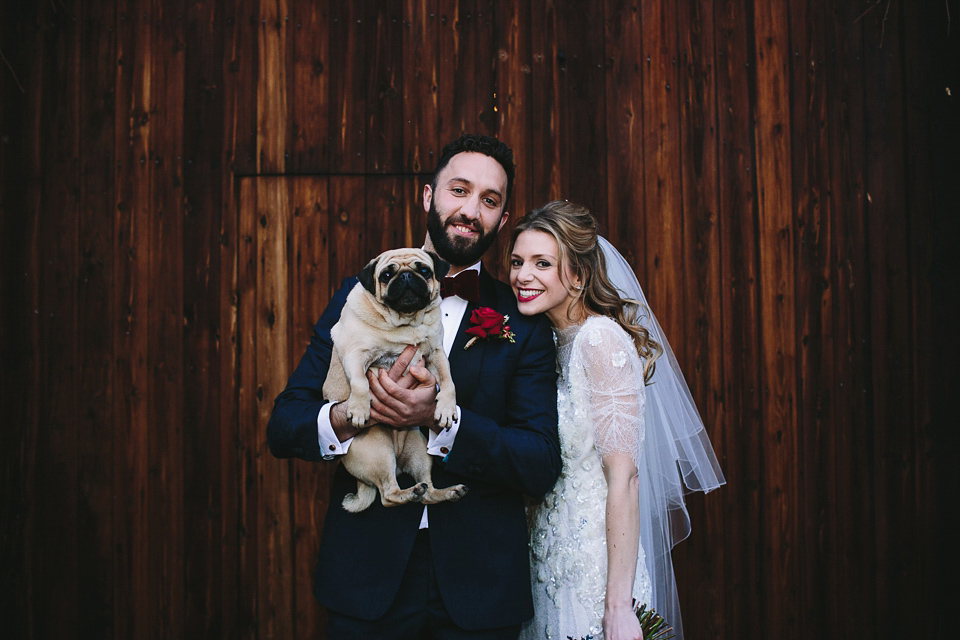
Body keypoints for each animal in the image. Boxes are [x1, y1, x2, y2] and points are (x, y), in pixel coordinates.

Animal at [322, 248, 468, 512]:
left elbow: (448, 382)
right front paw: (359, 409)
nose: (407, 276)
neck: (405, 323)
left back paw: (445, 492)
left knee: (427, 491)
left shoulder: (436, 354)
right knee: (388, 495)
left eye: (424, 270)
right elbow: (360, 383)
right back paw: (409, 493)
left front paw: (446, 408)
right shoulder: (355, 354)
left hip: (419, 448)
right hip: (378, 448)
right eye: (386, 275)